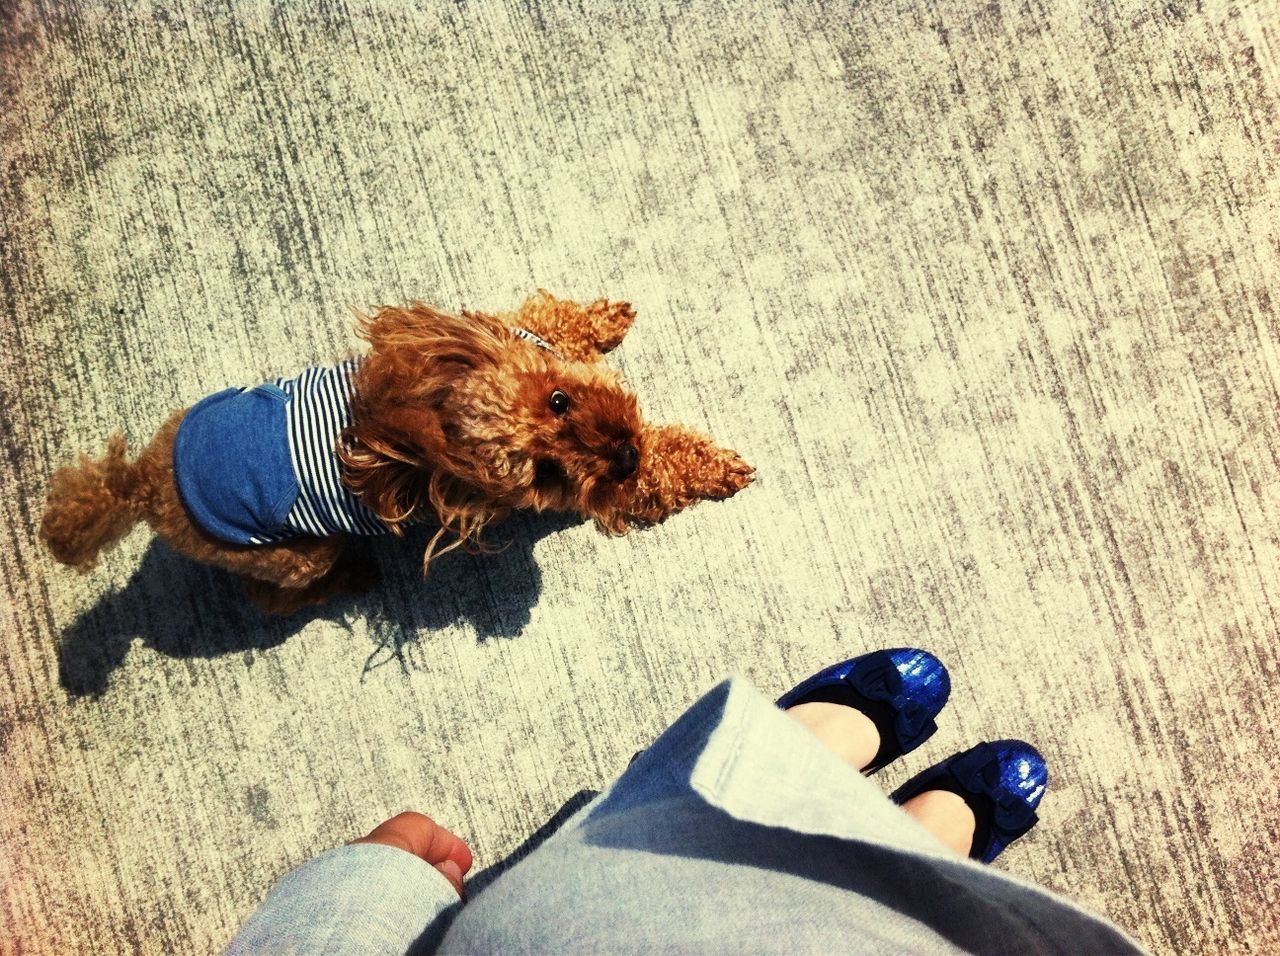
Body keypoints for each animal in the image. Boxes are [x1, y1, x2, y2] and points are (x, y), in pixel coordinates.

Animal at [45, 289, 752, 614]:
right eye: (548, 473)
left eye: (559, 400)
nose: (621, 456)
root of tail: (140, 485)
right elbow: (659, 477)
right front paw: (711, 468)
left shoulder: (513, 335)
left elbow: (550, 318)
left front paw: (601, 319)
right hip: (288, 555)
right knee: (270, 597)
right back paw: (352, 577)